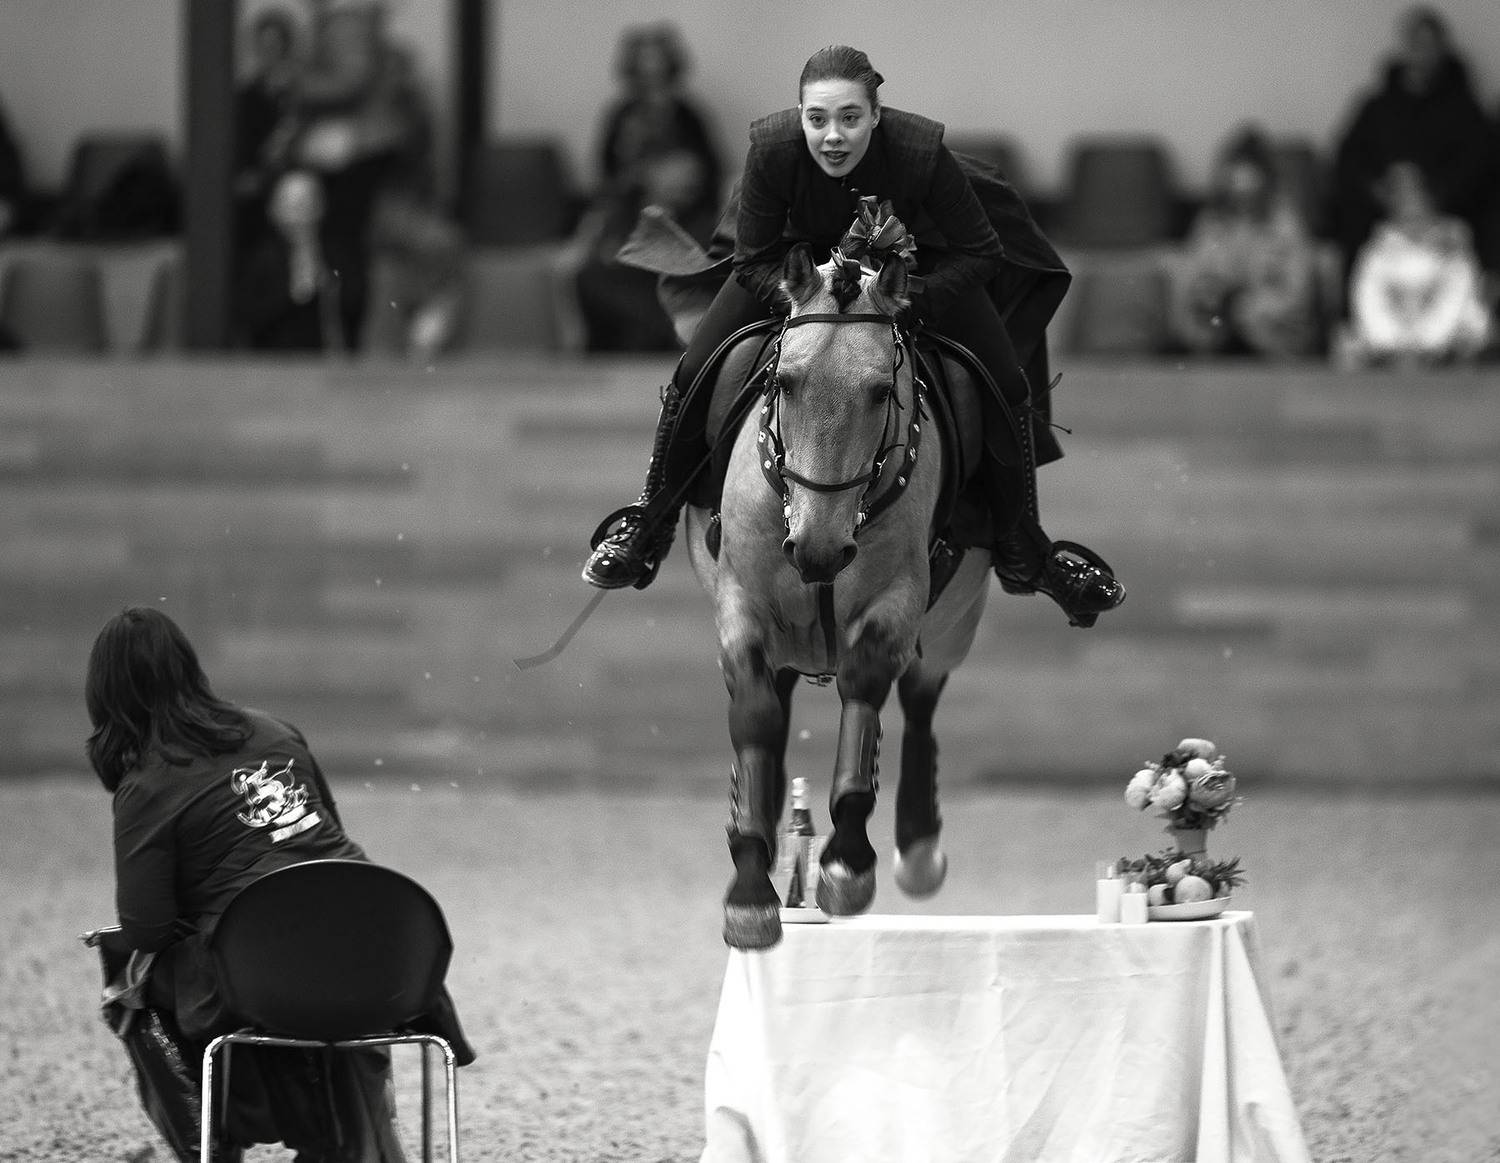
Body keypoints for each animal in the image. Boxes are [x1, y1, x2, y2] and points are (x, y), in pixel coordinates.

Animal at [684, 243, 994, 951]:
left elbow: (866, 694)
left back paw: (918, 848)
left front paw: (847, 863)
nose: (818, 552)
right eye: (784, 383)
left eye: (881, 391)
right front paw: (750, 889)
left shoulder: (896, 604)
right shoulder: (739, 604)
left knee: (920, 698)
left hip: (956, 616)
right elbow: (756, 717)